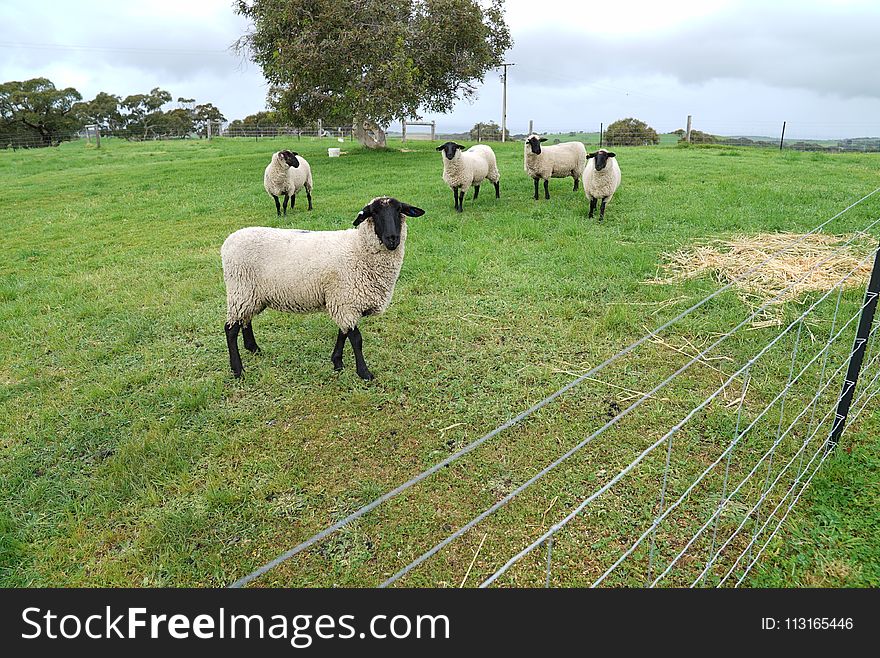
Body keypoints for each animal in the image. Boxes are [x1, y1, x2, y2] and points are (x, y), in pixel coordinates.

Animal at [222, 195, 424, 380]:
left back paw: (253, 348)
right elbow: (356, 339)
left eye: (399, 210)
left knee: (245, 320)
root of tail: (228, 241)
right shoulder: (346, 301)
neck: (359, 248)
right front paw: (364, 372)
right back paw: (238, 370)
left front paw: (337, 362)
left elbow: (343, 333)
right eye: (373, 213)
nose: (392, 239)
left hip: (251, 295)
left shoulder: (342, 300)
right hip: (240, 290)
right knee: (231, 329)